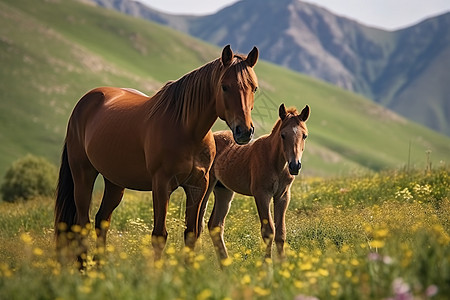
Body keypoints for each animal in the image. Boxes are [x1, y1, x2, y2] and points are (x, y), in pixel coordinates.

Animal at [55, 45, 260, 266]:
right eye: (224, 86)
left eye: (254, 88)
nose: (244, 131)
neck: (186, 129)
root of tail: (86, 101)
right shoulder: (162, 185)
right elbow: (159, 235)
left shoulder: (198, 186)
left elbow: (191, 234)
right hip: (83, 174)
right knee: (82, 222)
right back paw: (84, 268)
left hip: (115, 182)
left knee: (102, 220)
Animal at [200, 103, 310, 262]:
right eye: (283, 135)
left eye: (304, 135)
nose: (295, 166)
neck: (276, 163)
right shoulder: (262, 194)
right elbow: (268, 231)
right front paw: (267, 265)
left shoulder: (283, 196)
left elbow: (281, 232)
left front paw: (283, 264)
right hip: (207, 187)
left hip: (224, 190)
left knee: (215, 225)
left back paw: (225, 262)